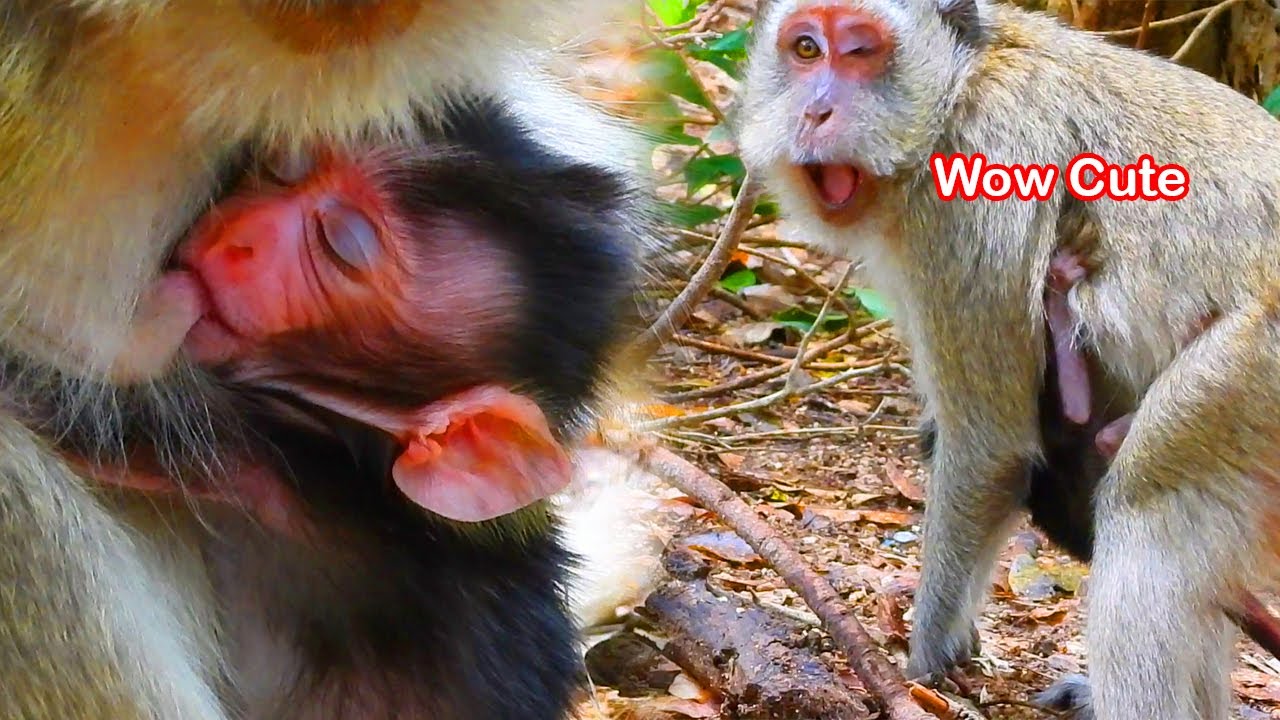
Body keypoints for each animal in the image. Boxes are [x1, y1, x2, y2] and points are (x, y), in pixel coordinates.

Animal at [736, 1, 1280, 719]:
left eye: (859, 51)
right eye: (805, 49)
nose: (815, 111)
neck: (959, 90)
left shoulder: (970, 192)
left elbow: (989, 449)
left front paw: (926, 658)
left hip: (1254, 363)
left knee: (1146, 517)